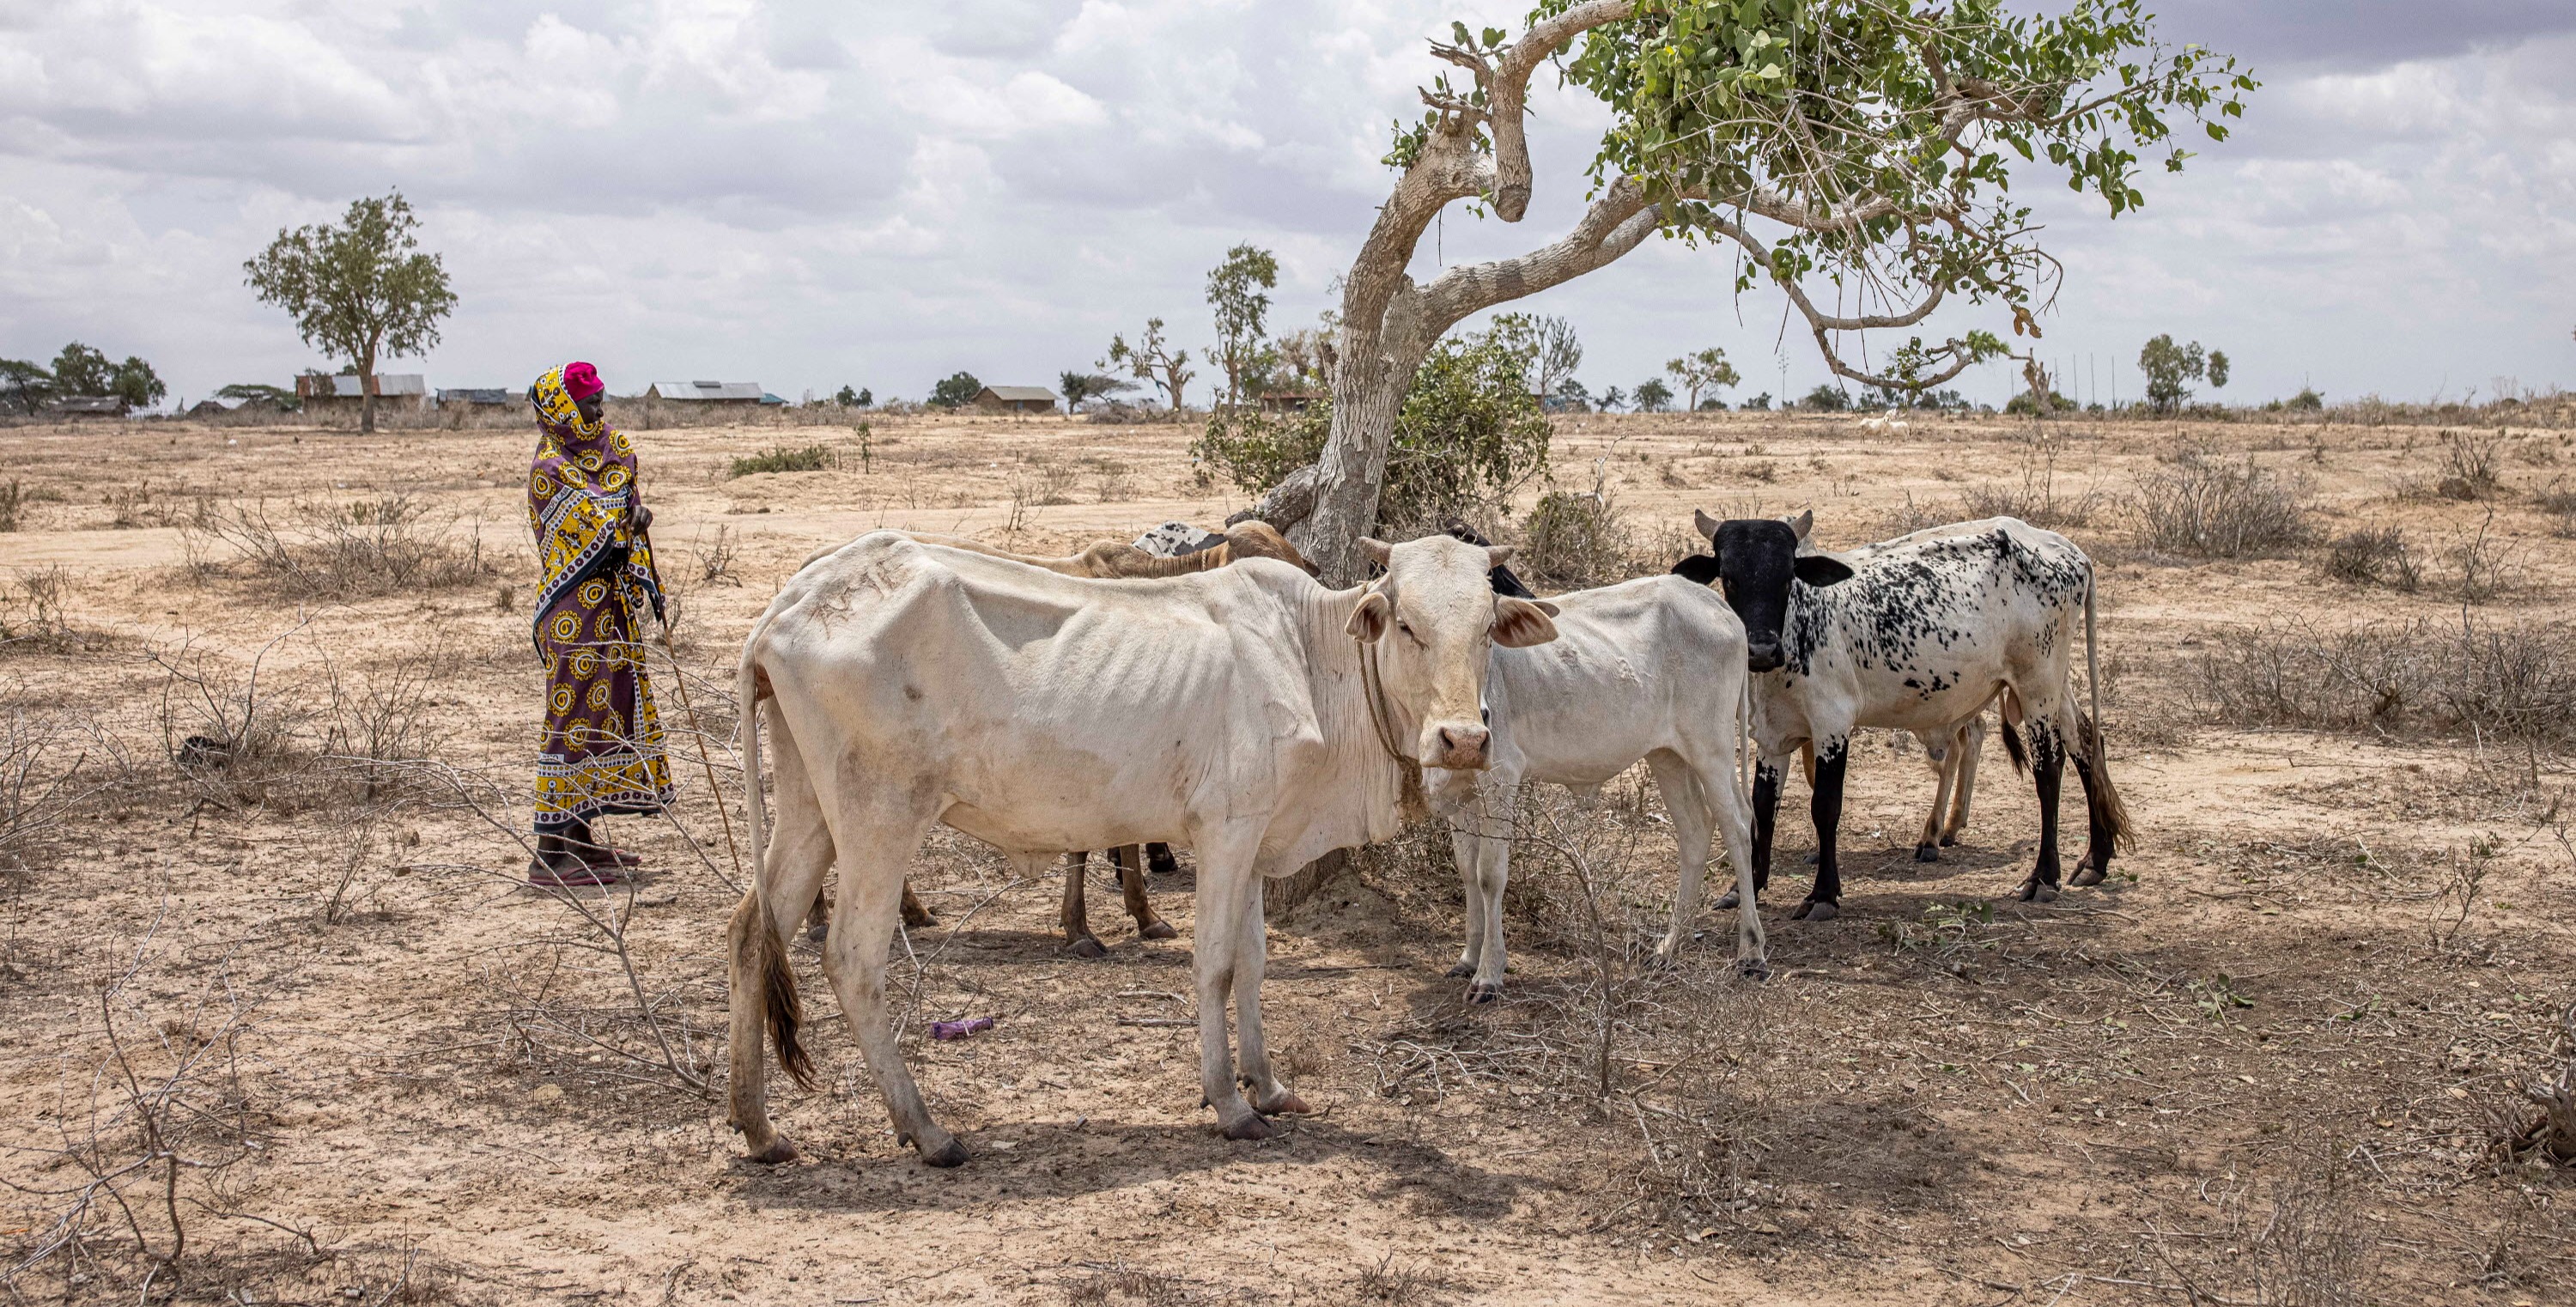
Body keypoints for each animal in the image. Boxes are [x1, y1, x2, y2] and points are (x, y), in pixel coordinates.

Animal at [721, 531, 1546, 1164]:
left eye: (1485, 630)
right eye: (1406, 625)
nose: (1463, 739)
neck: (1313, 659)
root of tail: (791, 601)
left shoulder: (1255, 839)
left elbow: (1254, 962)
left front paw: (1270, 1086)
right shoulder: (1225, 832)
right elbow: (1215, 966)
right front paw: (1229, 1103)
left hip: (810, 811)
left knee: (753, 931)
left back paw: (759, 1128)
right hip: (880, 820)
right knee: (851, 960)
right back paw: (928, 1131)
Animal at [1432, 574, 1772, 1000]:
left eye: (1487, 635)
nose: (1479, 719)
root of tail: (1718, 605)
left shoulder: (1501, 778)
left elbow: (1488, 875)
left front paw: (1489, 974)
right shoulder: (1457, 794)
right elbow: (1466, 870)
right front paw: (1468, 958)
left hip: (1712, 749)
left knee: (1738, 826)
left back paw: (1751, 951)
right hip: (1667, 755)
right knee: (1695, 828)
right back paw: (1668, 948)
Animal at [1669, 510, 2133, 922]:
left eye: (1786, 577)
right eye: (1730, 578)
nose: (1762, 649)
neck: (1800, 621)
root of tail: (2066, 548)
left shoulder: (1832, 726)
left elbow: (1825, 807)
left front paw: (1823, 895)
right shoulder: (1774, 736)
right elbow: (1763, 809)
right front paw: (1746, 886)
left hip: (2037, 684)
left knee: (2049, 768)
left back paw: (2042, 877)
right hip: (2053, 685)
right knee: (2085, 740)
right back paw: (2095, 858)